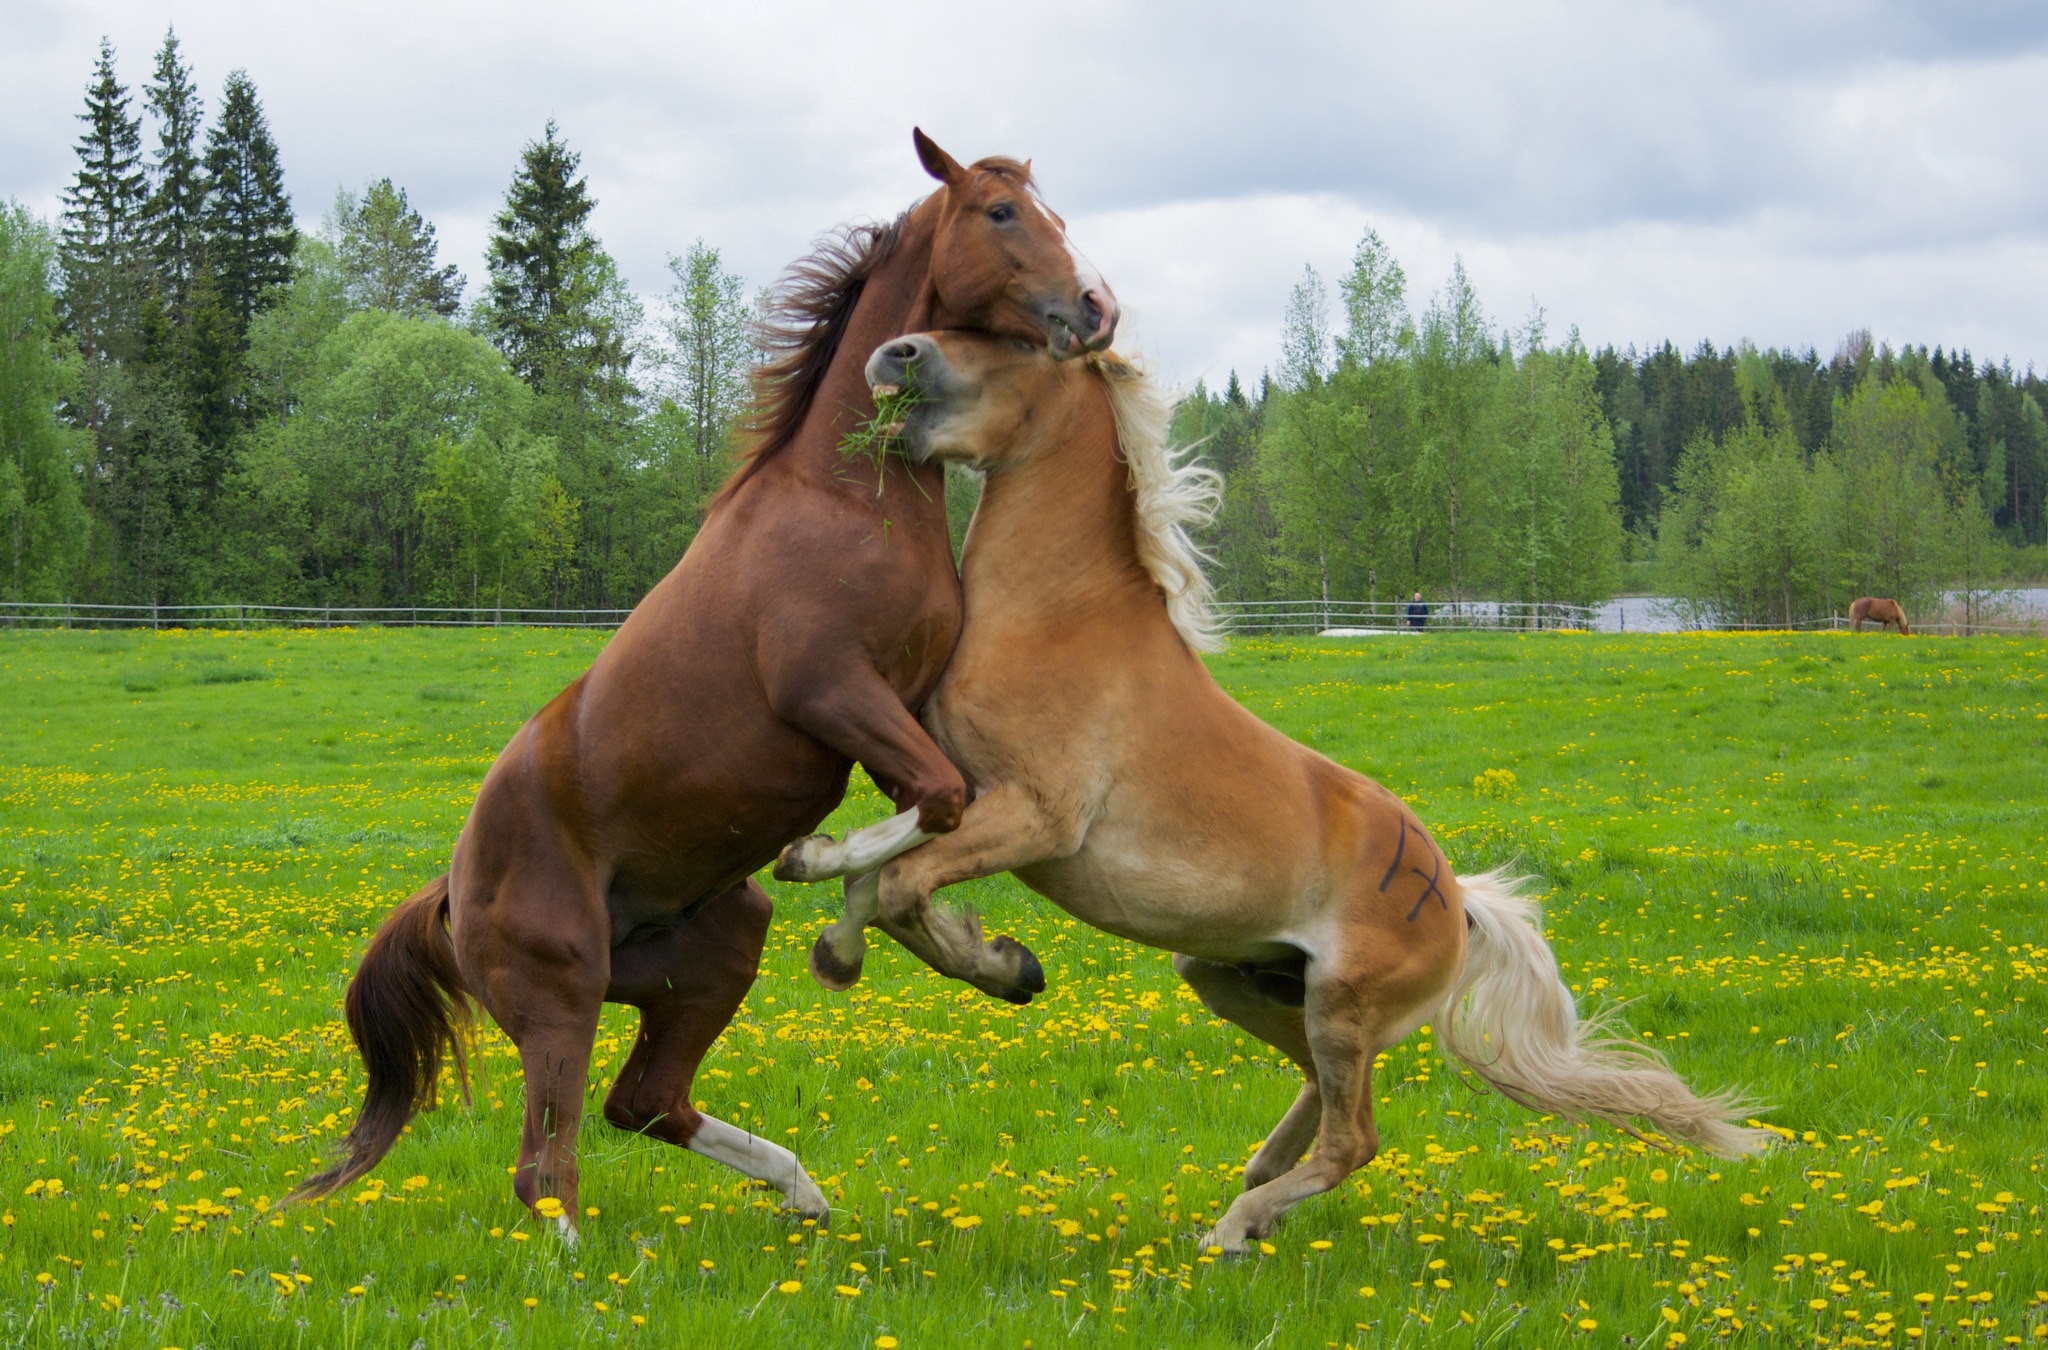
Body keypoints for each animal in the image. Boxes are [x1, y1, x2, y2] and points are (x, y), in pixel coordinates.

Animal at [286, 132, 1114, 1237]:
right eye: (998, 212)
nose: (1096, 307)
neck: (844, 499)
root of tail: (452, 892)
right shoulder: (831, 692)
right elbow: (936, 805)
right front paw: (821, 864)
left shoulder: (896, 712)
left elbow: (933, 824)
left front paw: (980, 959)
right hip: (561, 991)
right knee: (547, 1167)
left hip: (711, 952)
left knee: (643, 1104)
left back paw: (803, 1193)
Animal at [774, 335, 1769, 1253]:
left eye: (1009, 339)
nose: (896, 353)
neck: (1064, 620)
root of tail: (1458, 903)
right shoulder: (968, 790)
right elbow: (883, 860)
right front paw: (824, 891)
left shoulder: (1038, 816)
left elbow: (905, 886)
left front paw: (987, 962)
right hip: (1230, 975)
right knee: (1320, 1097)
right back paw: (1260, 1182)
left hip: (1339, 1003)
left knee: (1355, 1139)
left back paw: (1235, 1228)